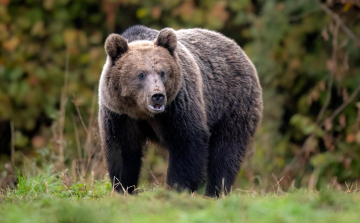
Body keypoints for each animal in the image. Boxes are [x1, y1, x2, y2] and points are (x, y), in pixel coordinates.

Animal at [97, 25, 262, 197]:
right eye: (141, 74)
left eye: (162, 72)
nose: (157, 96)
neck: (142, 112)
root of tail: (239, 49)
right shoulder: (120, 114)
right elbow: (122, 150)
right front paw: (123, 188)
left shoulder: (178, 106)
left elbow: (187, 142)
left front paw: (176, 187)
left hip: (231, 103)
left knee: (226, 150)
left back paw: (215, 191)